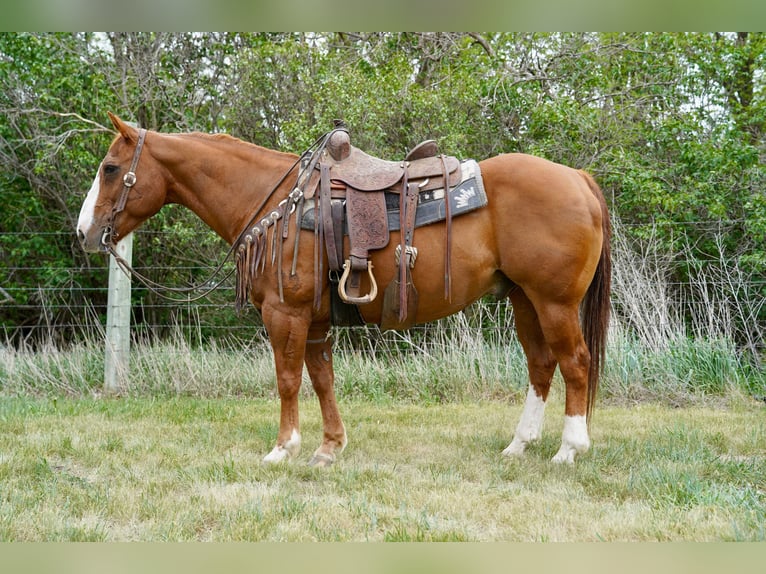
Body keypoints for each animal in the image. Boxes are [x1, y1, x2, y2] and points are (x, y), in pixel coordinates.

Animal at [77, 112, 611, 467]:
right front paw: (329, 446)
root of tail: (578, 179)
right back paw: (519, 444)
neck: (278, 202)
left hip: (554, 302)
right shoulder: (315, 319)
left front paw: (282, 449)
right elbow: (321, 379)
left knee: (575, 364)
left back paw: (570, 448)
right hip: (524, 299)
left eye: (109, 168)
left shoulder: (285, 313)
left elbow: (287, 379)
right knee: (541, 365)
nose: (83, 233)